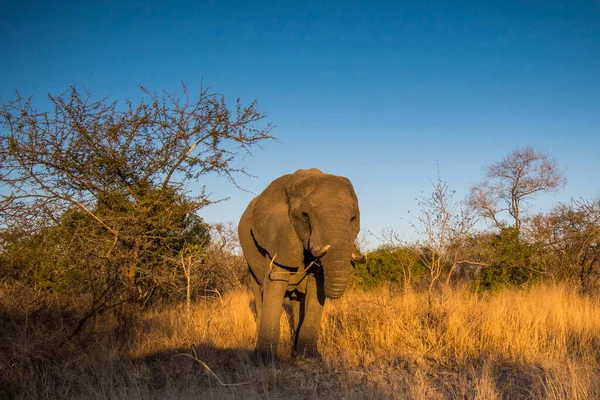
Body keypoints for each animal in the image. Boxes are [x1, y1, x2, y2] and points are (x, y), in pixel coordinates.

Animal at [239, 167, 366, 360]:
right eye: (305, 216)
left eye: (353, 218)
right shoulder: (278, 236)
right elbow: (275, 285)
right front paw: (265, 360)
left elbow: (316, 288)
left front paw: (309, 357)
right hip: (250, 262)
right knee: (259, 293)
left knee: (297, 300)